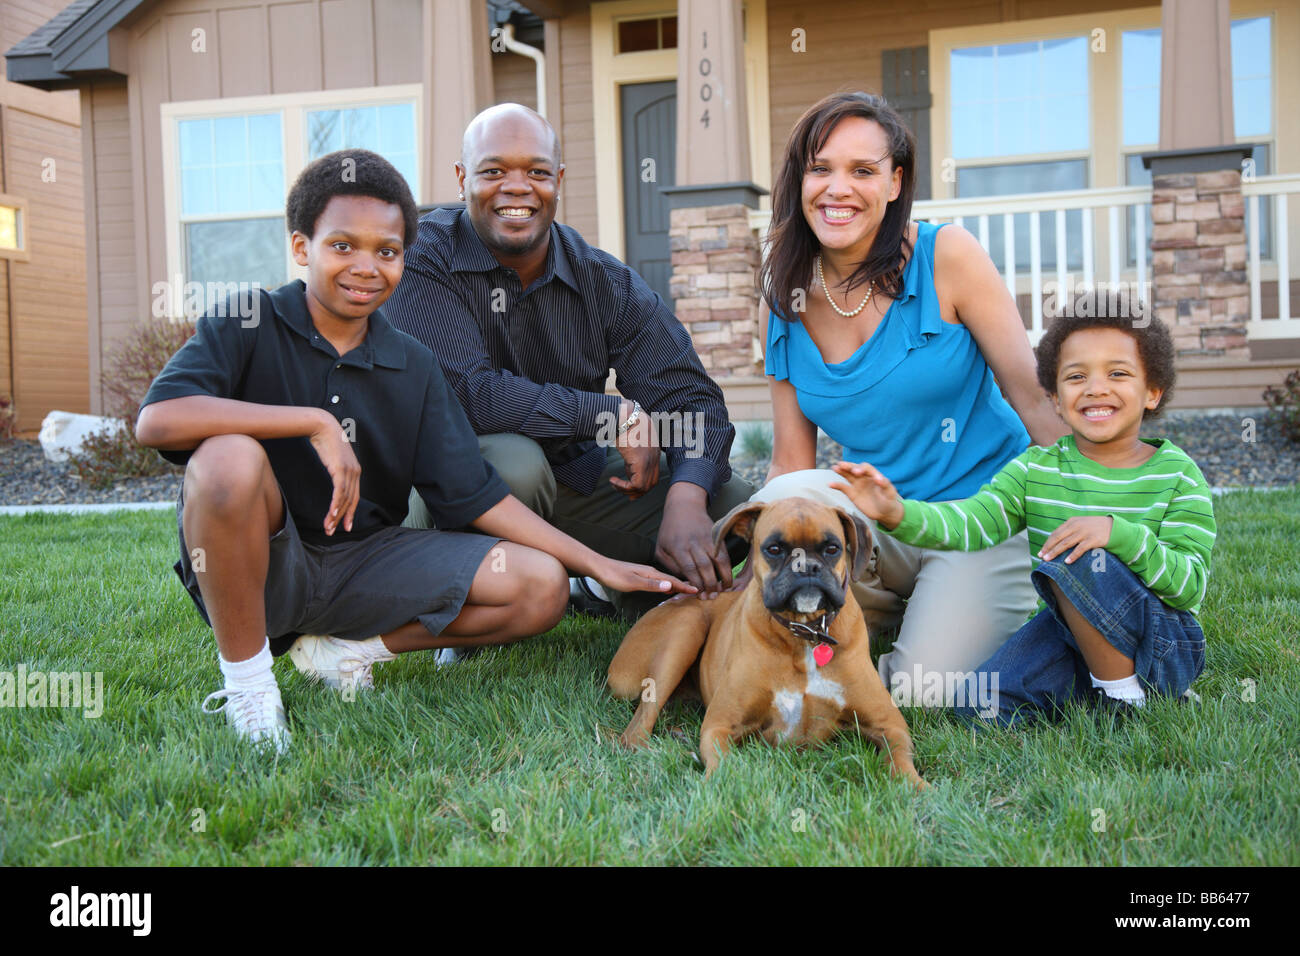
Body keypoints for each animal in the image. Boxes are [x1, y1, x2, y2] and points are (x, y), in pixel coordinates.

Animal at [608, 496, 925, 790]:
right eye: (774, 549)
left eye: (832, 548)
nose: (807, 566)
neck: (804, 634)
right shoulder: (719, 725)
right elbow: (723, 764)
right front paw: (717, 781)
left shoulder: (890, 723)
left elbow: (899, 758)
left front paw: (918, 787)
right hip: (686, 628)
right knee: (637, 727)